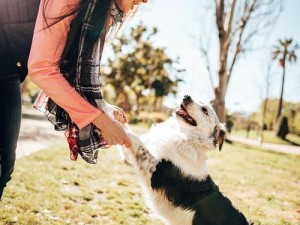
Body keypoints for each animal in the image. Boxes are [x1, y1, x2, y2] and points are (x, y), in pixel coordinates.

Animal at [120, 95, 252, 225]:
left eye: (205, 110)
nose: (186, 96)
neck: (184, 137)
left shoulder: (155, 170)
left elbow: (135, 140)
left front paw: (123, 131)